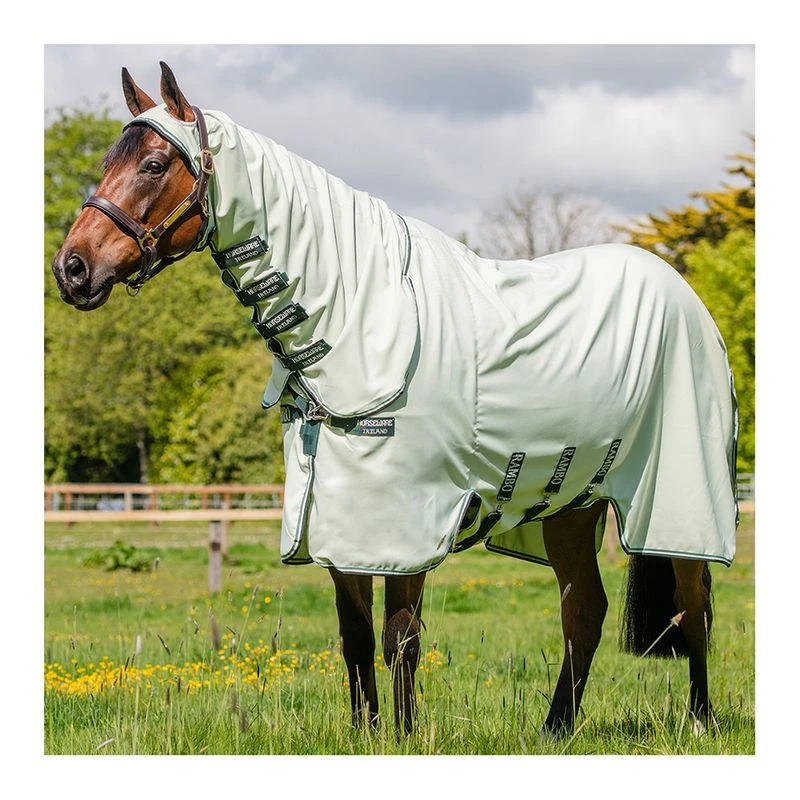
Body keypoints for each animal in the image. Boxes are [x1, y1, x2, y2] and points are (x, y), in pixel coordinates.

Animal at [51, 62, 738, 738]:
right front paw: (367, 735)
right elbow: (355, 638)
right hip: (571, 504)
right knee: (585, 612)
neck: (357, 319)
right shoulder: (338, 521)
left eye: (153, 164)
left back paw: (700, 721)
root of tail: (685, 295)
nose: (72, 269)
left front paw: (403, 737)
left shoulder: (407, 524)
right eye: (109, 160)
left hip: (677, 500)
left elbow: (399, 638)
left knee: (693, 606)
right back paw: (555, 729)